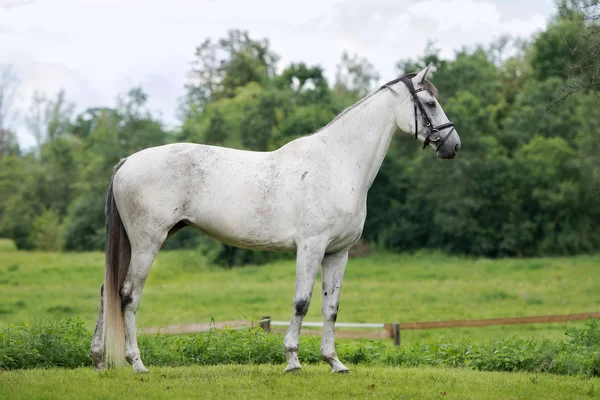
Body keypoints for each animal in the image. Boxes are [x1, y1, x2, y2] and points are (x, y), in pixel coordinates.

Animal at [90, 64, 460, 374]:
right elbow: (301, 303)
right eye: (429, 102)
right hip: (147, 243)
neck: (337, 163)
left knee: (107, 291)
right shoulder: (310, 247)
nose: (453, 145)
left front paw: (334, 363)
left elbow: (331, 308)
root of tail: (127, 162)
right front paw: (293, 361)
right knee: (127, 295)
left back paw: (98, 360)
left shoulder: (337, 253)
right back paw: (136, 363)